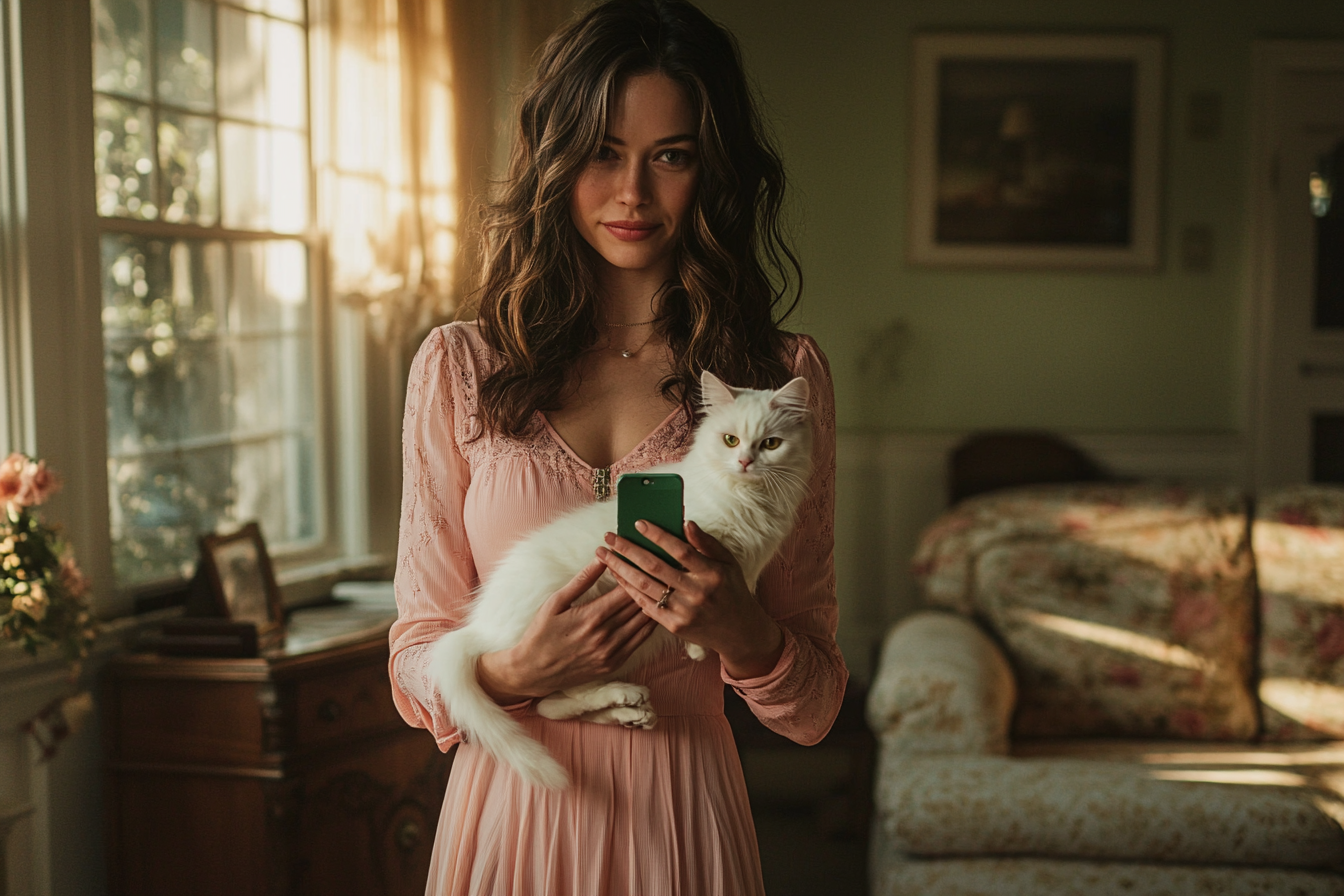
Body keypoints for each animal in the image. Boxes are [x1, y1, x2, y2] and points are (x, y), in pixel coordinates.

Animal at [427, 368, 806, 789]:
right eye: (731, 440)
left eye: (770, 444)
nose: (744, 461)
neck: (747, 498)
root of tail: (478, 628)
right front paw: (695, 646)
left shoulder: (744, 570)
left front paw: (699, 645)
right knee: (561, 693)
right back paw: (626, 698)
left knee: (552, 706)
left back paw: (630, 710)